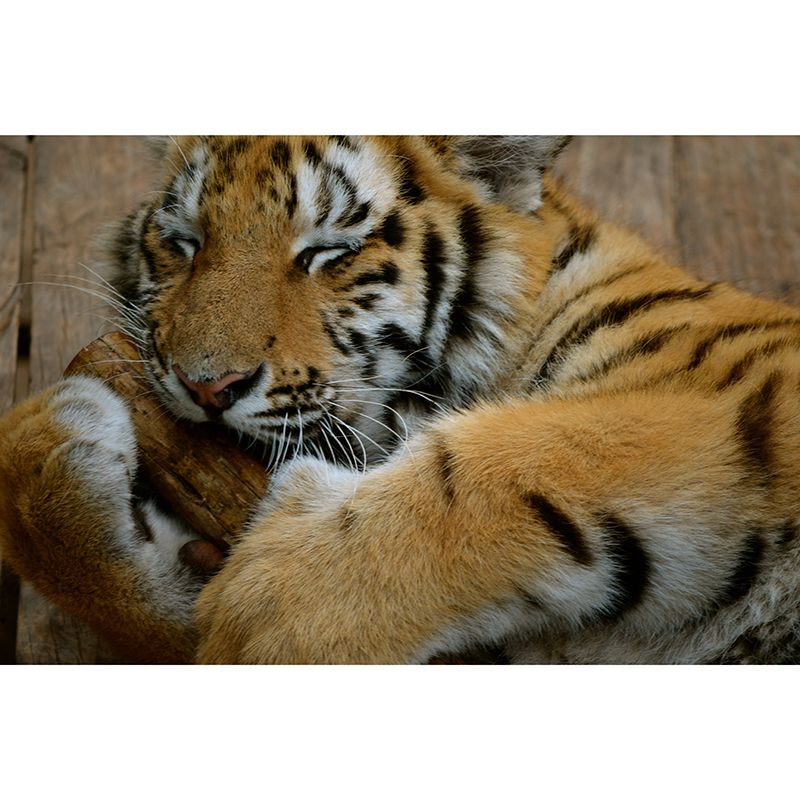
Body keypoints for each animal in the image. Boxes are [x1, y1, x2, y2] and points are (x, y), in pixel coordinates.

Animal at [1, 135, 800, 664]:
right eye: (184, 240)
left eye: (326, 251)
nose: (207, 386)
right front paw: (44, 450)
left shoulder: (739, 382)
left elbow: (508, 464)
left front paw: (276, 612)